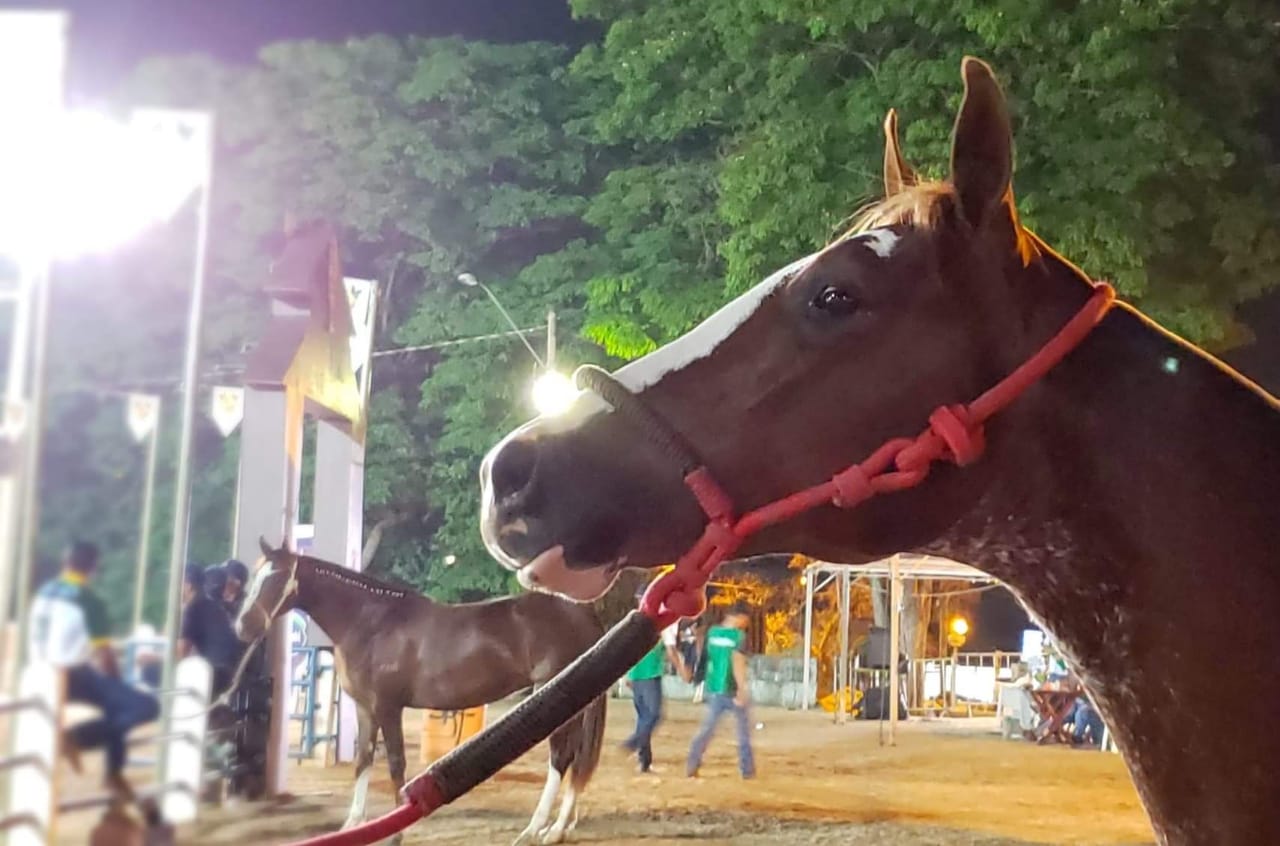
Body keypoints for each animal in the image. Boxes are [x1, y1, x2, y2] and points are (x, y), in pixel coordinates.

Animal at [234, 540, 604, 844]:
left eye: (275, 578)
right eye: (255, 575)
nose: (243, 627)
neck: (371, 622)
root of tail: (582, 612)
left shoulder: (388, 707)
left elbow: (396, 765)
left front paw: (396, 833)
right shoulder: (366, 709)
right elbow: (363, 760)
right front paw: (353, 825)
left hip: (553, 692)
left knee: (561, 757)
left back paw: (536, 829)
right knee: (575, 759)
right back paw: (558, 828)